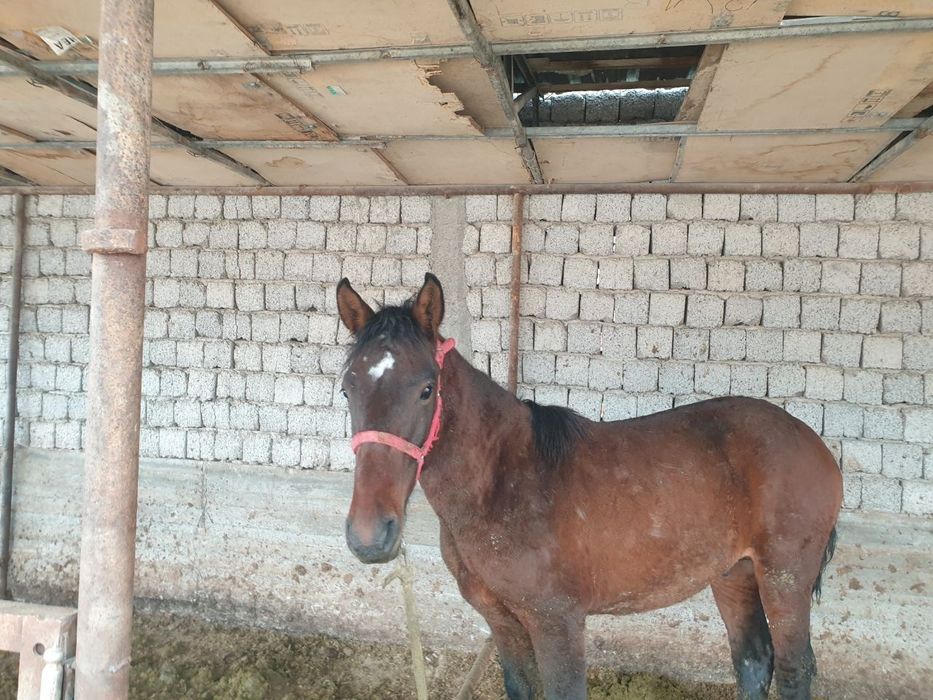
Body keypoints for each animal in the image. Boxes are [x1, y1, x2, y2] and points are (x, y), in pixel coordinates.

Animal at [336, 273, 842, 700]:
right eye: (347, 389)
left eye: (427, 389)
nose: (369, 536)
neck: (503, 483)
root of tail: (814, 442)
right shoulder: (502, 622)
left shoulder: (557, 622)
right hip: (734, 574)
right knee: (753, 663)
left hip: (784, 578)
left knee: (794, 671)